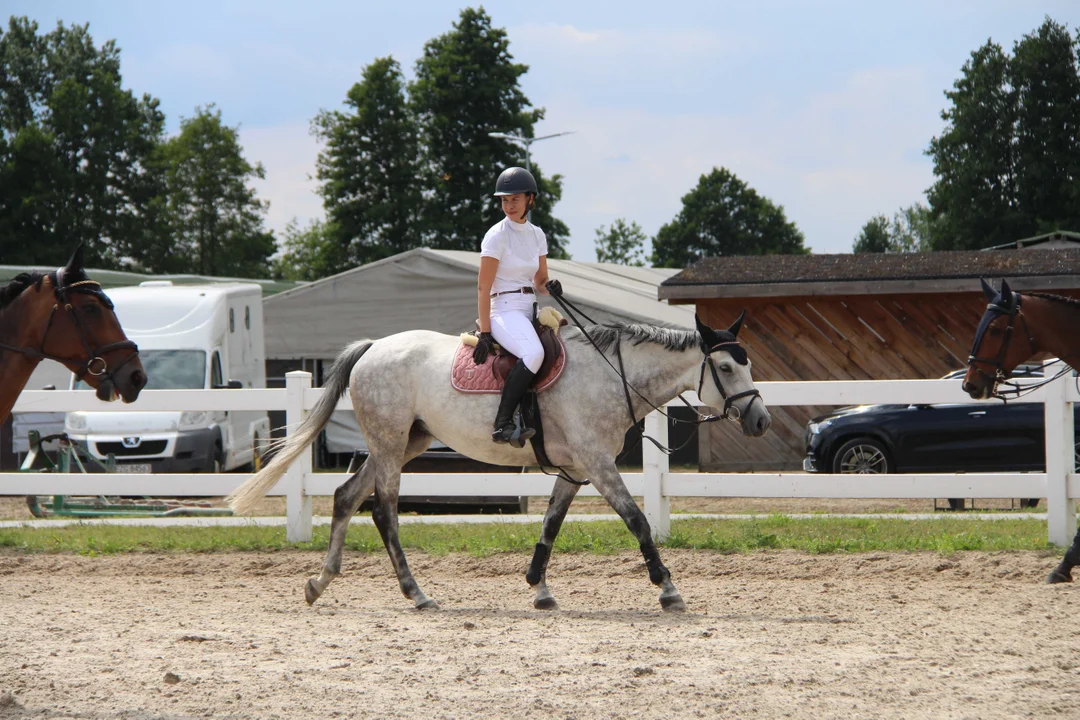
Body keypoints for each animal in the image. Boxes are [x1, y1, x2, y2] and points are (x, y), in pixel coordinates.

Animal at [230, 313, 768, 608]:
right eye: (724, 367)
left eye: (746, 364)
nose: (760, 420)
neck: (611, 373)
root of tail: (373, 348)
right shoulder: (598, 464)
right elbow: (637, 519)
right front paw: (667, 588)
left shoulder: (576, 470)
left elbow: (551, 524)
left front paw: (539, 587)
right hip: (388, 444)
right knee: (383, 511)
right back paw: (415, 593)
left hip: (404, 443)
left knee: (345, 497)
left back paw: (319, 583)